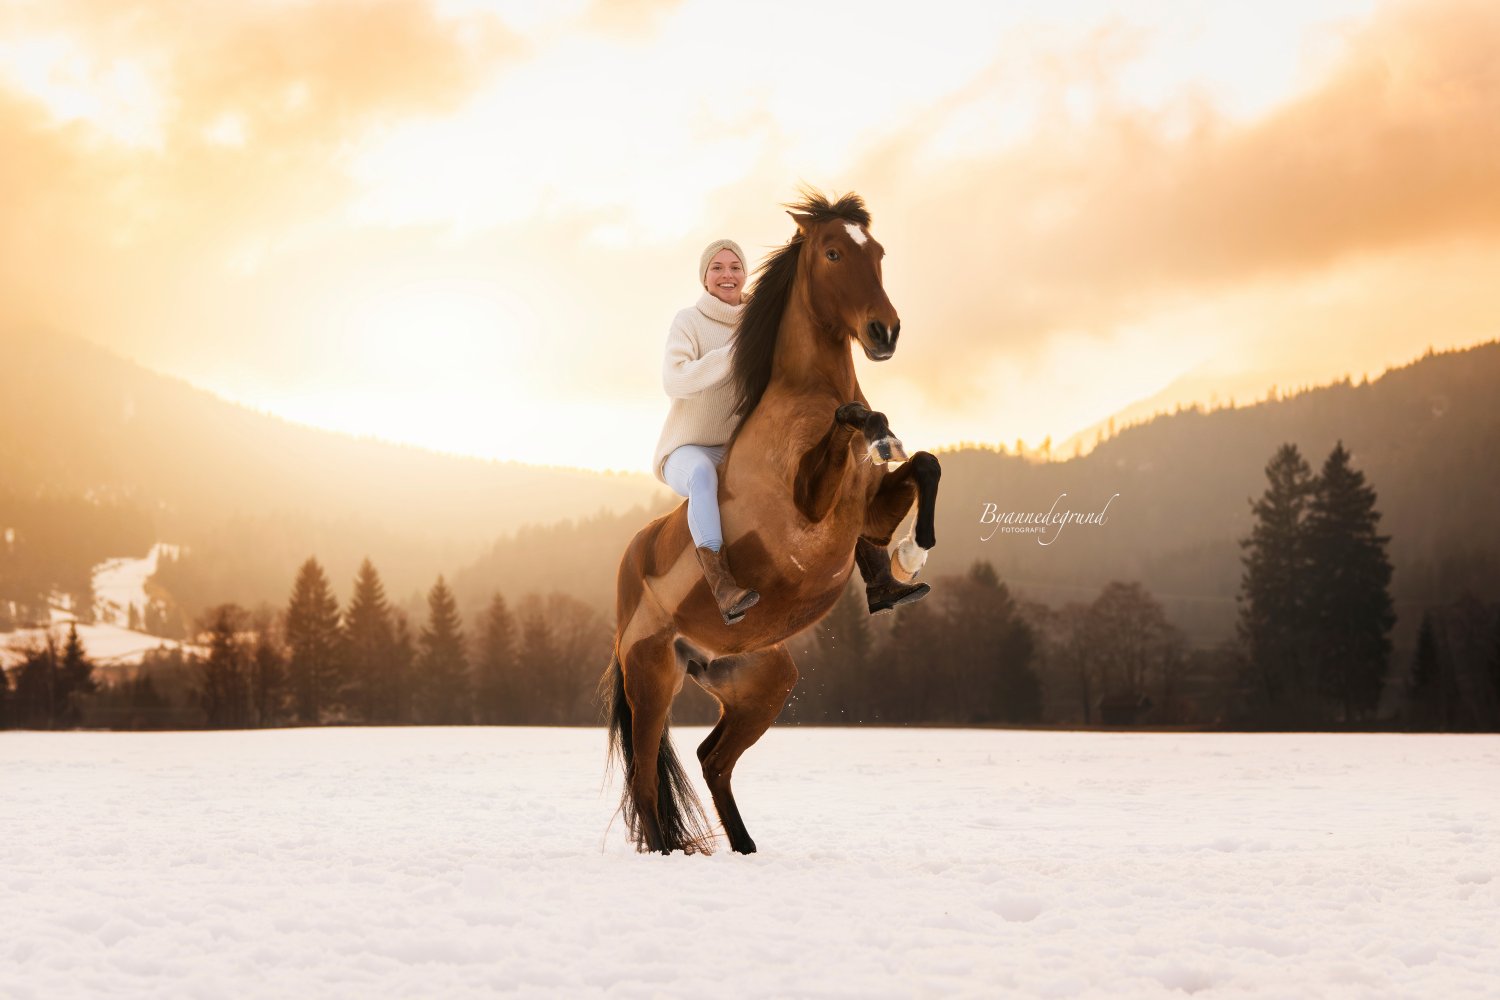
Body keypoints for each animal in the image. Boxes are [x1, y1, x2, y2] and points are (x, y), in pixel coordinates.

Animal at [602, 190, 942, 854]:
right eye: (832, 251)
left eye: (878, 252)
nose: (884, 331)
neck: (799, 397)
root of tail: (628, 567)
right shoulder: (807, 508)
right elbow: (852, 417)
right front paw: (875, 435)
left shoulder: (864, 514)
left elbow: (924, 463)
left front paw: (909, 559)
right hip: (651, 678)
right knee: (648, 779)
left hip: (764, 681)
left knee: (712, 759)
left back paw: (745, 847)